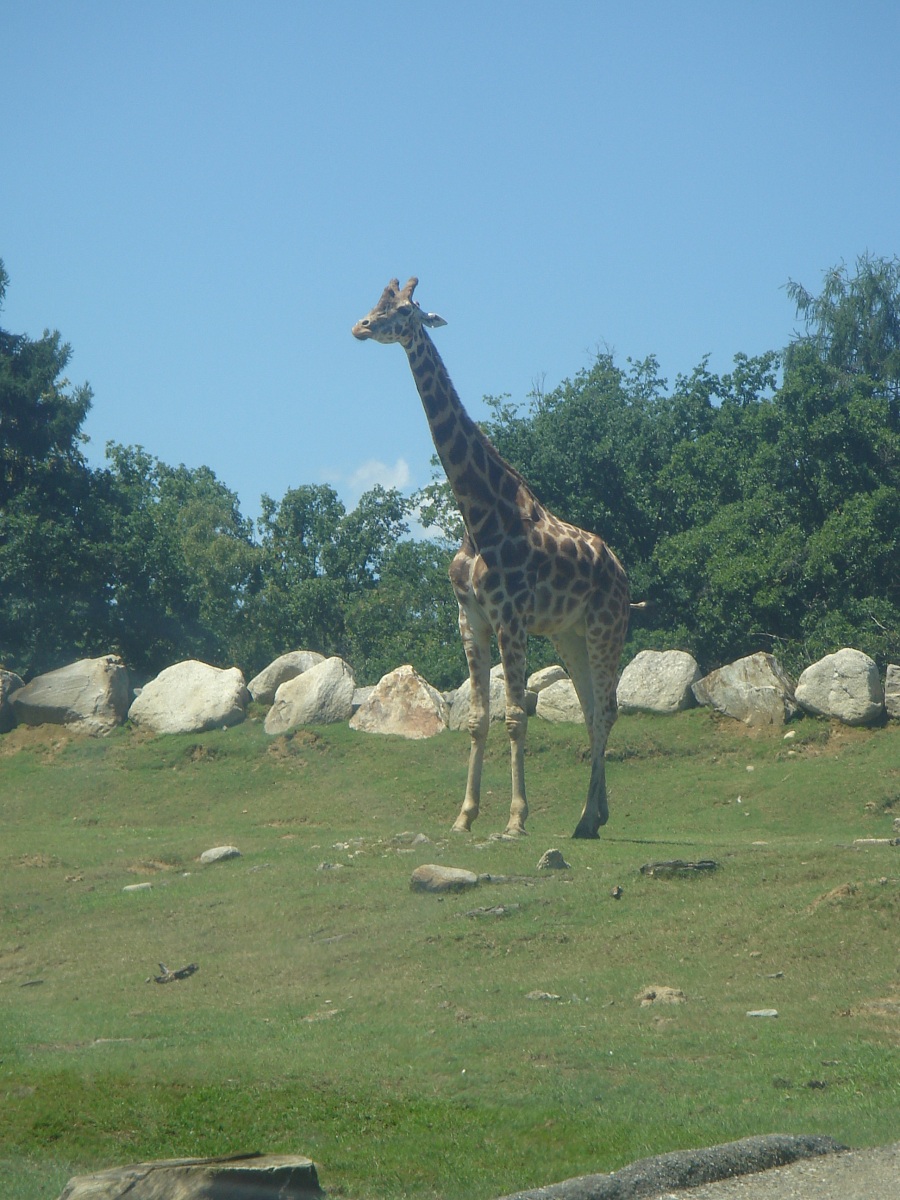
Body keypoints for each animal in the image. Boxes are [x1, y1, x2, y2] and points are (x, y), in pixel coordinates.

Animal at [352, 278, 630, 838]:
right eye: (377, 302)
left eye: (405, 310)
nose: (361, 327)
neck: (477, 515)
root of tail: (623, 572)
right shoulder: (471, 618)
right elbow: (479, 719)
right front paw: (464, 816)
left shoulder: (510, 617)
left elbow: (516, 717)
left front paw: (516, 819)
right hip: (569, 634)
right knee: (593, 712)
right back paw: (592, 817)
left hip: (604, 626)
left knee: (606, 711)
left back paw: (587, 819)